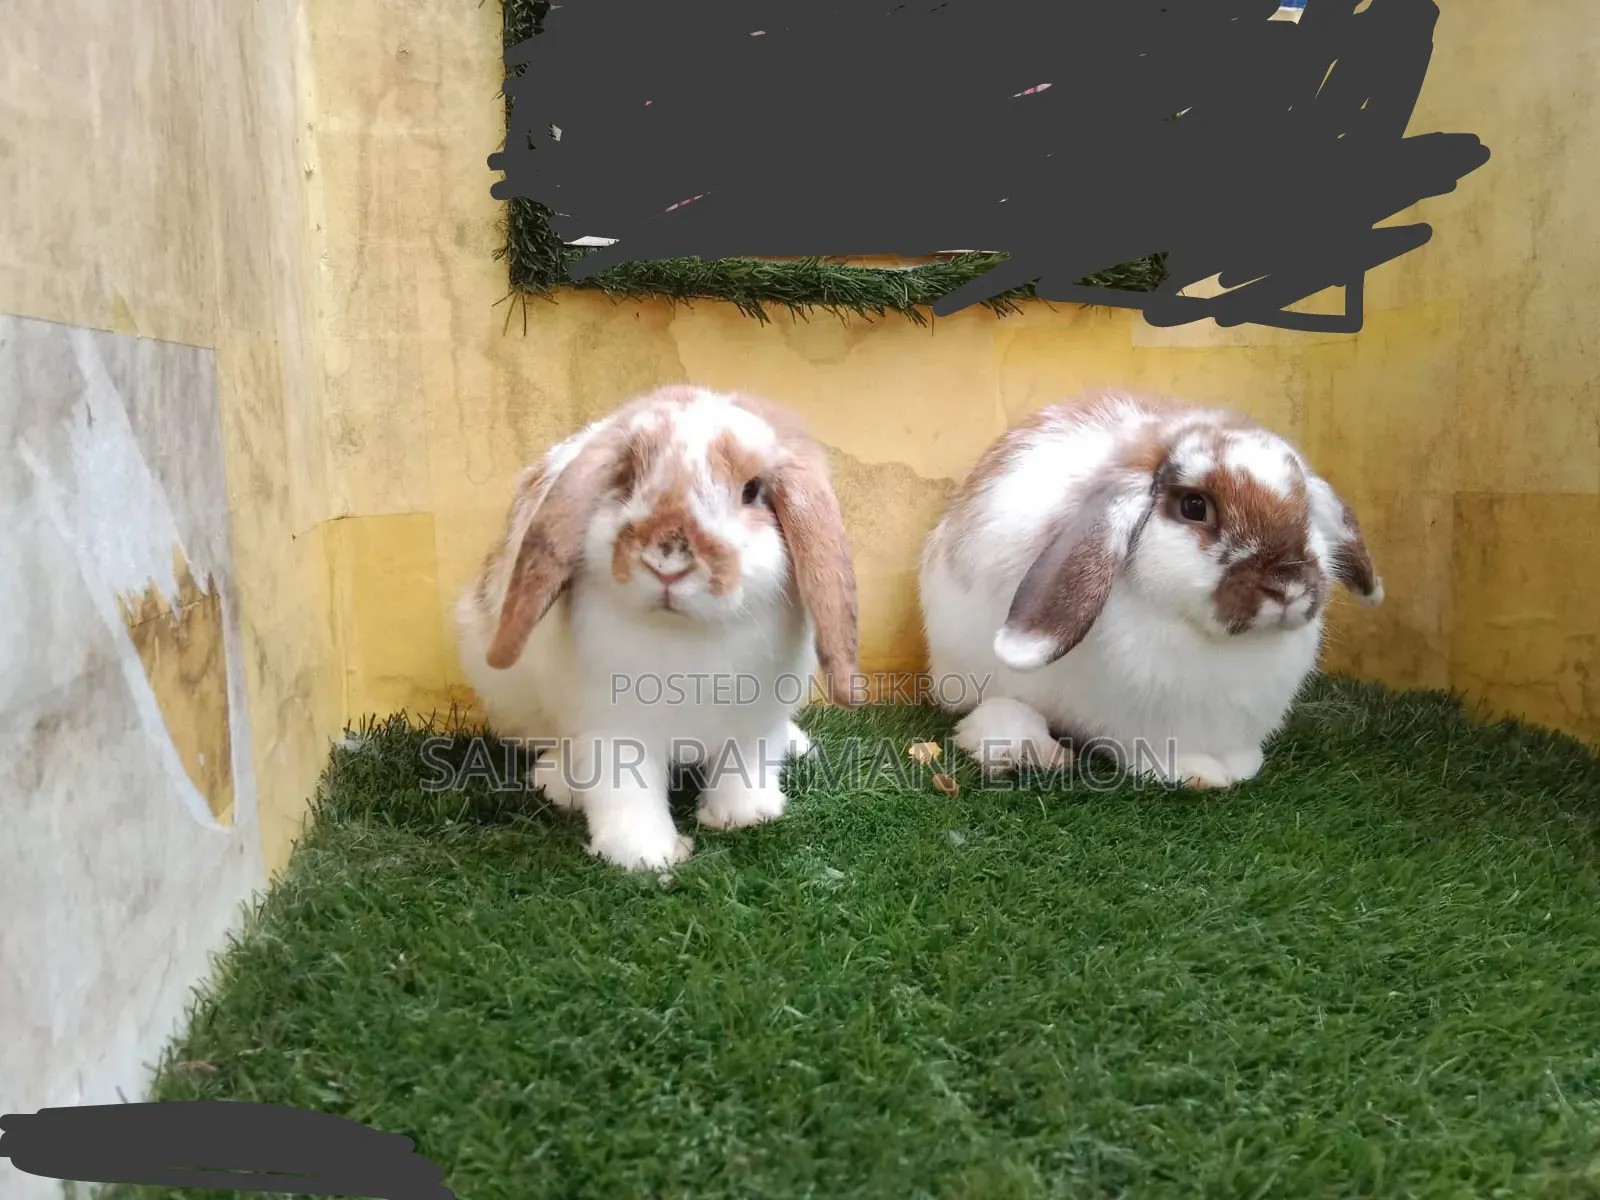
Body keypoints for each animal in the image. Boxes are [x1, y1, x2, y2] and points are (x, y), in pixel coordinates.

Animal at [454, 384, 862, 871]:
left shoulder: (755, 723)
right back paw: (560, 784)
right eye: (628, 480)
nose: (668, 562)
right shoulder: (614, 729)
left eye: (752, 490)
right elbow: (626, 792)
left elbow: (744, 768)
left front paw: (744, 817)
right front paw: (645, 856)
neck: (687, 635)